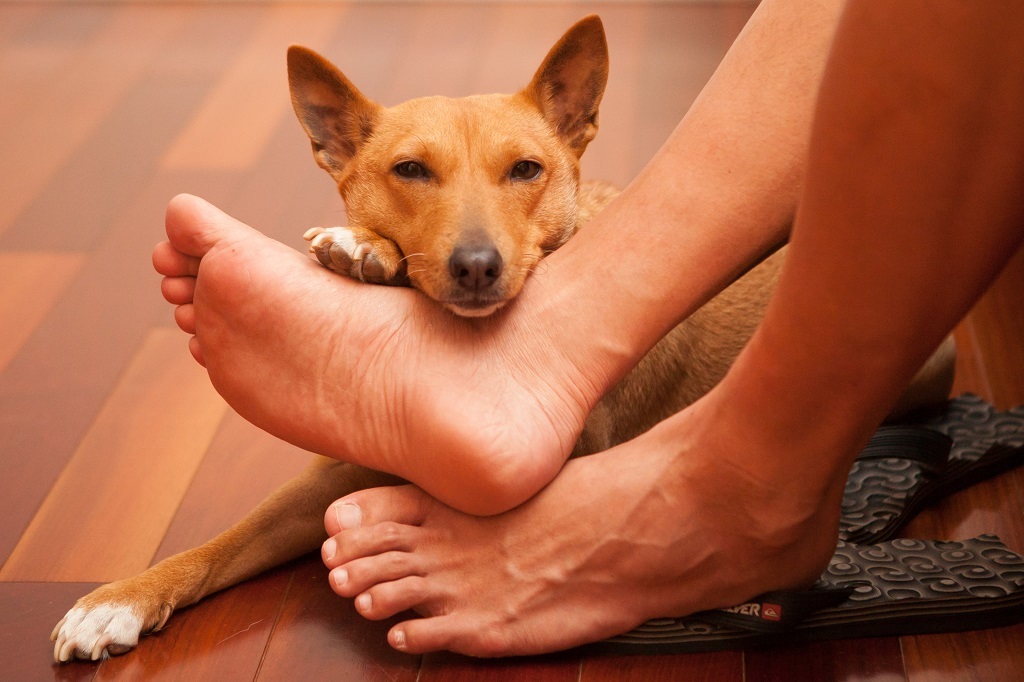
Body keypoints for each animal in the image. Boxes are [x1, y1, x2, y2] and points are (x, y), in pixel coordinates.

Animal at [51, 15, 954, 659]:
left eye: (526, 169)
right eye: (410, 171)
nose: (478, 266)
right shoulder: (328, 480)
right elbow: (223, 542)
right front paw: (119, 599)